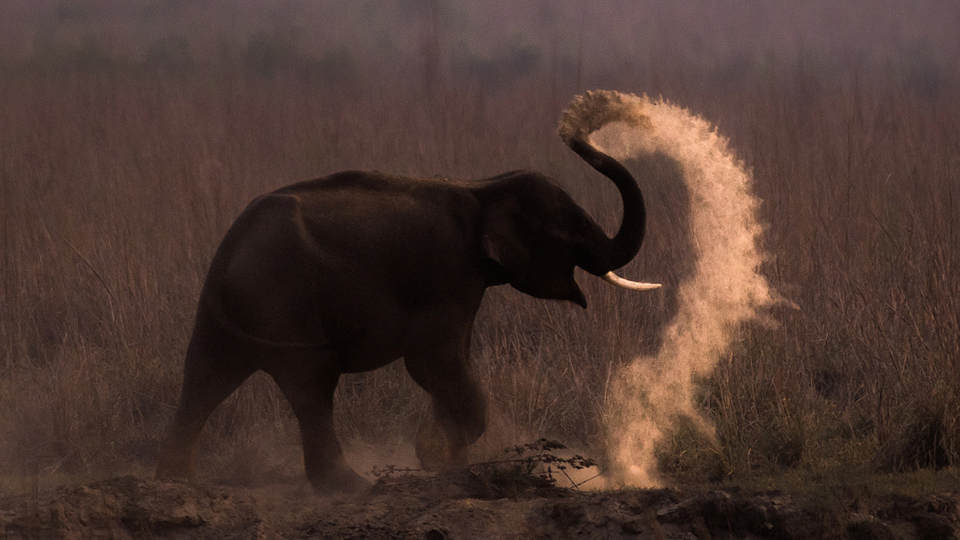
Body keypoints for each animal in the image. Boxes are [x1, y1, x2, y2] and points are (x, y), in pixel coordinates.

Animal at [155, 122, 659, 494]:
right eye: (577, 228)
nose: (575, 134)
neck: (485, 186)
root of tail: (230, 246)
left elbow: (452, 357)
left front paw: (447, 460)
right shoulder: (449, 267)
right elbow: (432, 359)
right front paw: (435, 456)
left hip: (233, 308)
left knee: (205, 375)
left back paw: (175, 482)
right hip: (282, 298)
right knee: (311, 383)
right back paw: (352, 488)